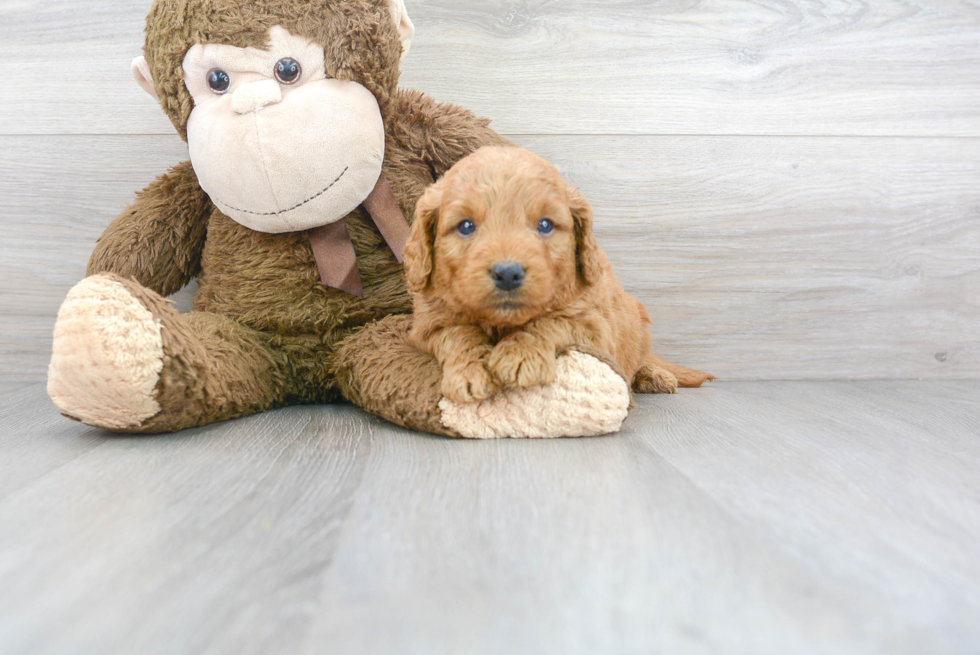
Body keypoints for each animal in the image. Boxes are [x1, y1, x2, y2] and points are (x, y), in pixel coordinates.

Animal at [406, 147, 712, 404]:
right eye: (466, 226)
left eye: (545, 225)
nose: (508, 273)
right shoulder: (427, 325)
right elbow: (459, 333)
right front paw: (470, 371)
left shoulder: (594, 327)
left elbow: (549, 321)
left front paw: (521, 355)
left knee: (640, 358)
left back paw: (653, 375)